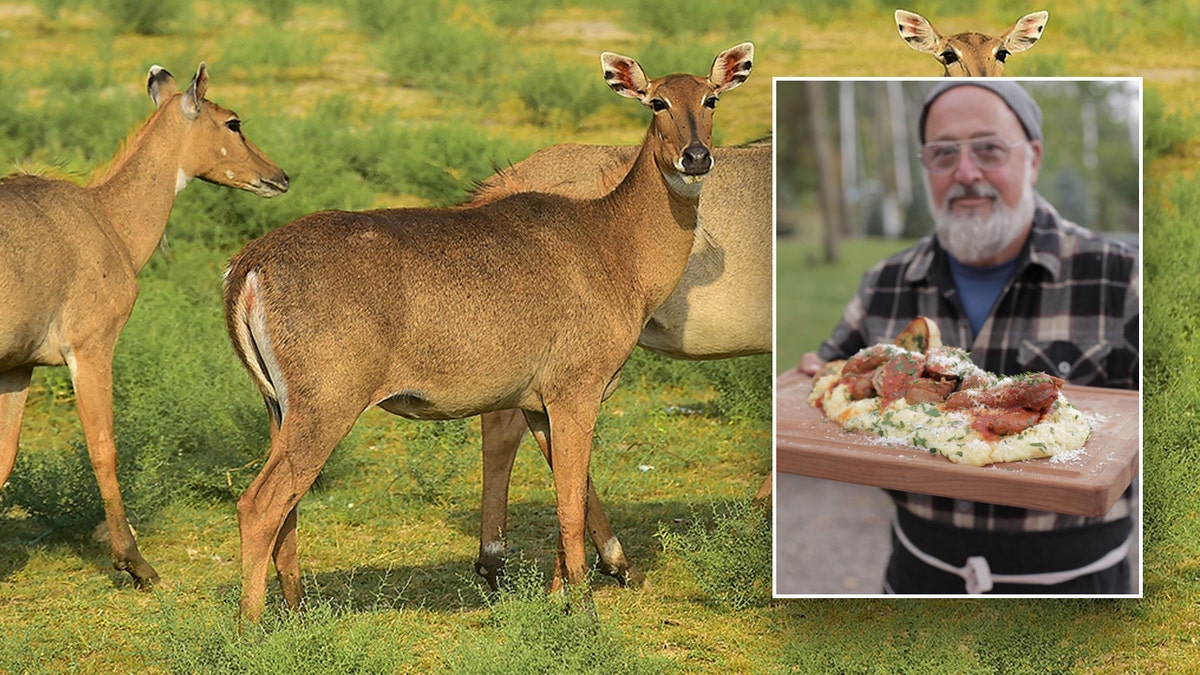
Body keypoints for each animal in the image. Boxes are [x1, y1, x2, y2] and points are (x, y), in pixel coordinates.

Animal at [0, 65, 288, 586]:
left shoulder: (17, 366)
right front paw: (135, 563)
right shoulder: (90, 346)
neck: (107, 219)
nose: (279, 176)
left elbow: (4, 454)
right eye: (233, 122)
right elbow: (103, 447)